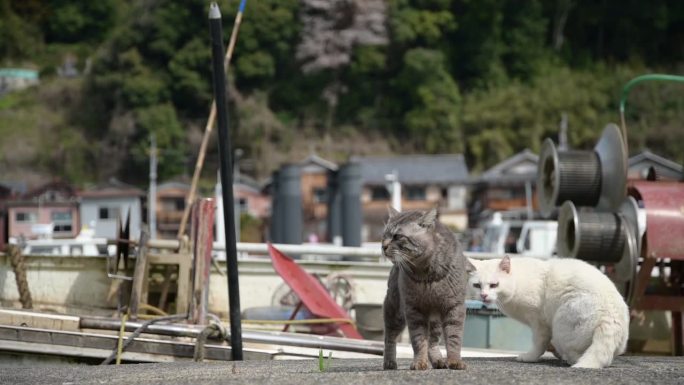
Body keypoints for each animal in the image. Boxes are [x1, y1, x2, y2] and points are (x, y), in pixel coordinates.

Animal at [382, 207, 472, 368]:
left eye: (398, 236)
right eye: (384, 235)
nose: (383, 246)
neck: (425, 272)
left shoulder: (454, 306)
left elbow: (454, 338)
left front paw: (454, 361)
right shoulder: (414, 310)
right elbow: (419, 340)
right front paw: (420, 362)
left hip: (435, 320)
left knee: (433, 341)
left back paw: (438, 360)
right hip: (395, 312)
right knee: (389, 338)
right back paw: (389, 362)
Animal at [468, 254, 628, 368]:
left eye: (494, 285)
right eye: (477, 285)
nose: (483, 295)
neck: (518, 280)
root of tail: (610, 317)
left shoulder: (539, 323)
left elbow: (539, 344)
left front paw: (529, 358)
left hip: (560, 323)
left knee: (576, 355)